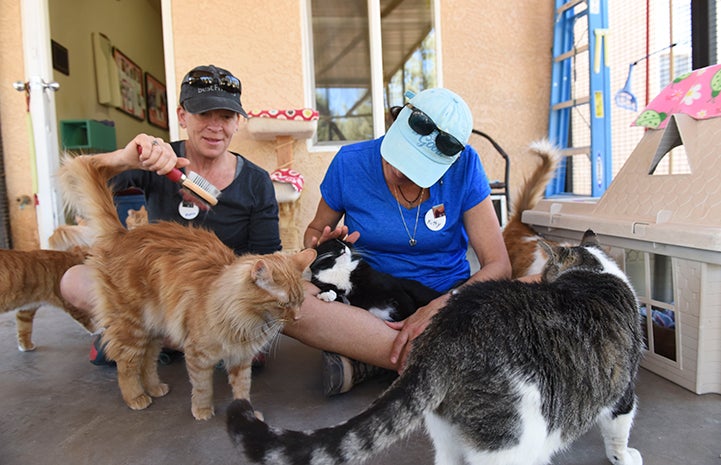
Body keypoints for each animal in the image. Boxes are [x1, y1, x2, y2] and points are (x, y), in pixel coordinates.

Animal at [56, 154, 316, 418]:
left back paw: (155, 388)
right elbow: (202, 387)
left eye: (301, 302)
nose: (298, 318)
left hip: (154, 329)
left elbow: (242, 389)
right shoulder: (198, 355)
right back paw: (136, 397)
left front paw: (248, 413)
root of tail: (123, 234)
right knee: (126, 364)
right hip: (132, 326)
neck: (244, 319)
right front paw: (202, 411)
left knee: (148, 361)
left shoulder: (241, 360)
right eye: (283, 304)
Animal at [308, 237, 442, 320]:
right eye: (333, 244)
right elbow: (335, 293)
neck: (340, 270)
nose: (344, 247)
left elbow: (406, 302)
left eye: (345, 243)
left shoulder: (389, 285)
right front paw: (326, 294)